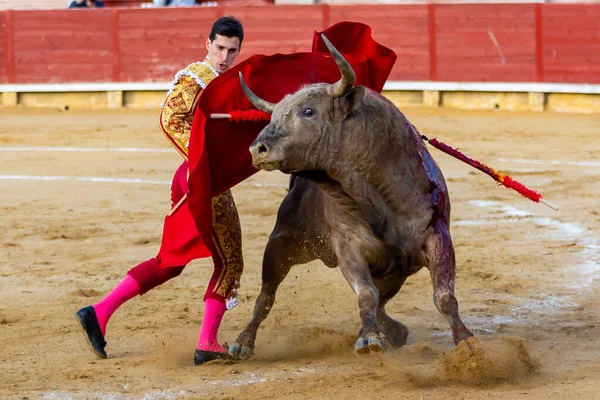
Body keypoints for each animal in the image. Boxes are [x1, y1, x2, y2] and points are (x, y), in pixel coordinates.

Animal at [229, 35, 474, 360]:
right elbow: (366, 294)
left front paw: (465, 340)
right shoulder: (348, 244)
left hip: (392, 271)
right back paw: (242, 342)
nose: (257, 149)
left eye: (308, 111)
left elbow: (445, 296)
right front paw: (369, 339)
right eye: (276, 114)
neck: (379, 198)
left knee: (383, 302)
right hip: (280, 244)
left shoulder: (438, 236)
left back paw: (395, 332)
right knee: (265, 297)